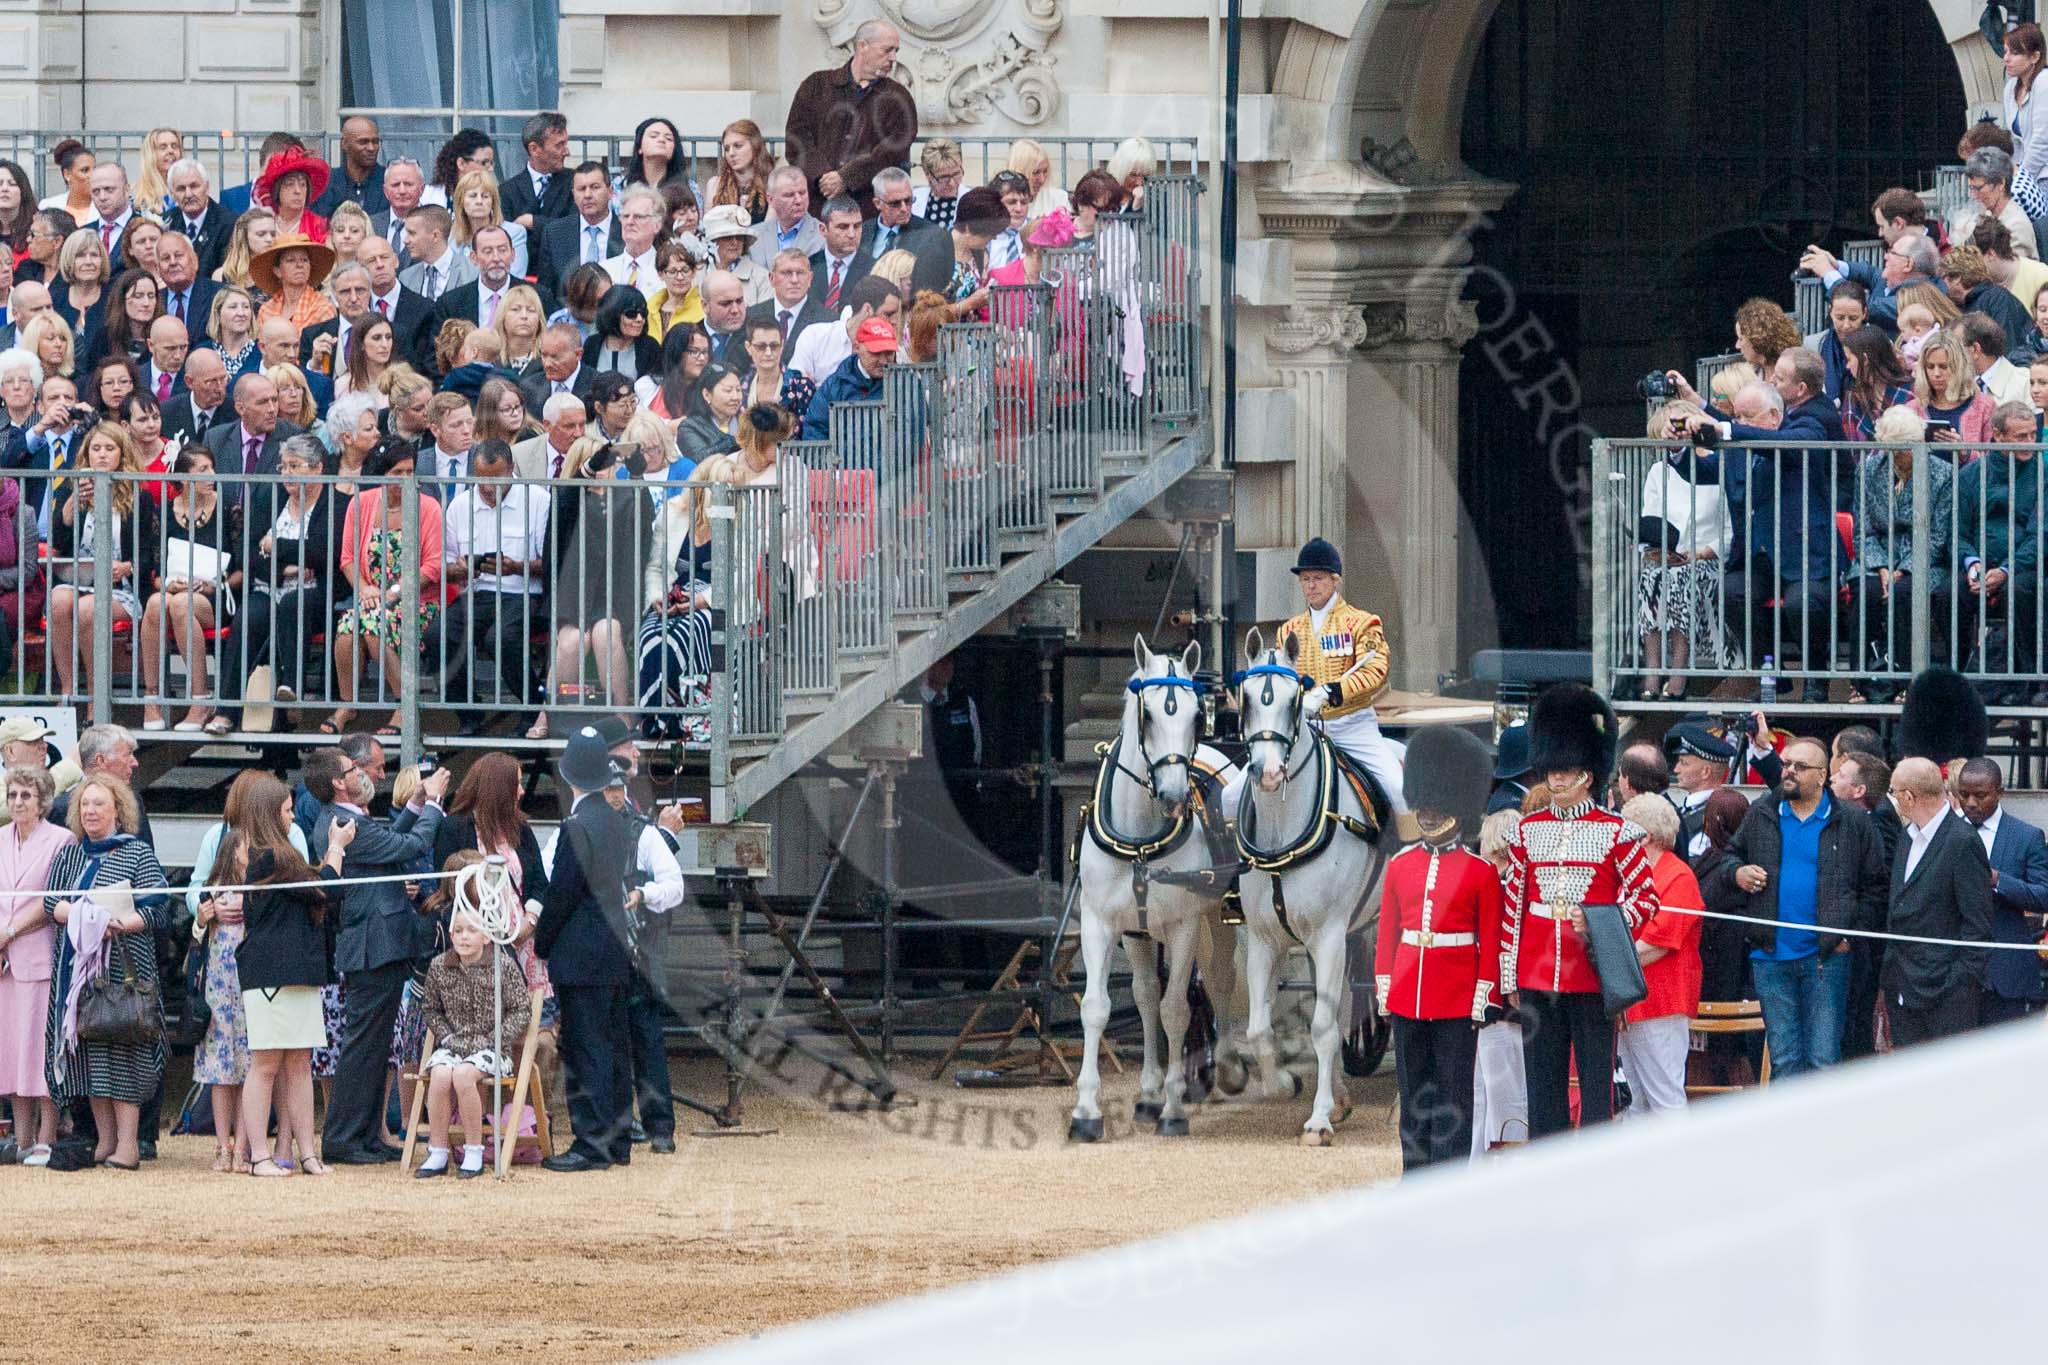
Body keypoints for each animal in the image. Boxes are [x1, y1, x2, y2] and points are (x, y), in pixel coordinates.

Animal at [1228, 630, 1392, 1146]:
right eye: (1245, 698)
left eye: (1295, 699)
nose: (1268, 773)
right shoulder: (1263, 939)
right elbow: (1260, 1027)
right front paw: (1283, 1084)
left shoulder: (1328, 935)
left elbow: (1320, 1027)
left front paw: (1318, 1119)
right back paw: (1339, 1095)